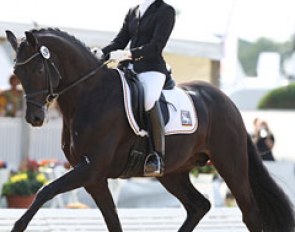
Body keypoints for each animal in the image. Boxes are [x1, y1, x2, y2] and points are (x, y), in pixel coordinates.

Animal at [5, 29, 294, 232]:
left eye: (38, 68)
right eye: (17, 71)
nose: (34, 117)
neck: (89, 95)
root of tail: (226, 101)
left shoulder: (91, 168)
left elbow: (45, 191)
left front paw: (18, 226)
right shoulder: (93, 178)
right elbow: (113, 221)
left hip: (230, 164)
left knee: (250, 212)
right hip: (173, 172)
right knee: (199, 206)